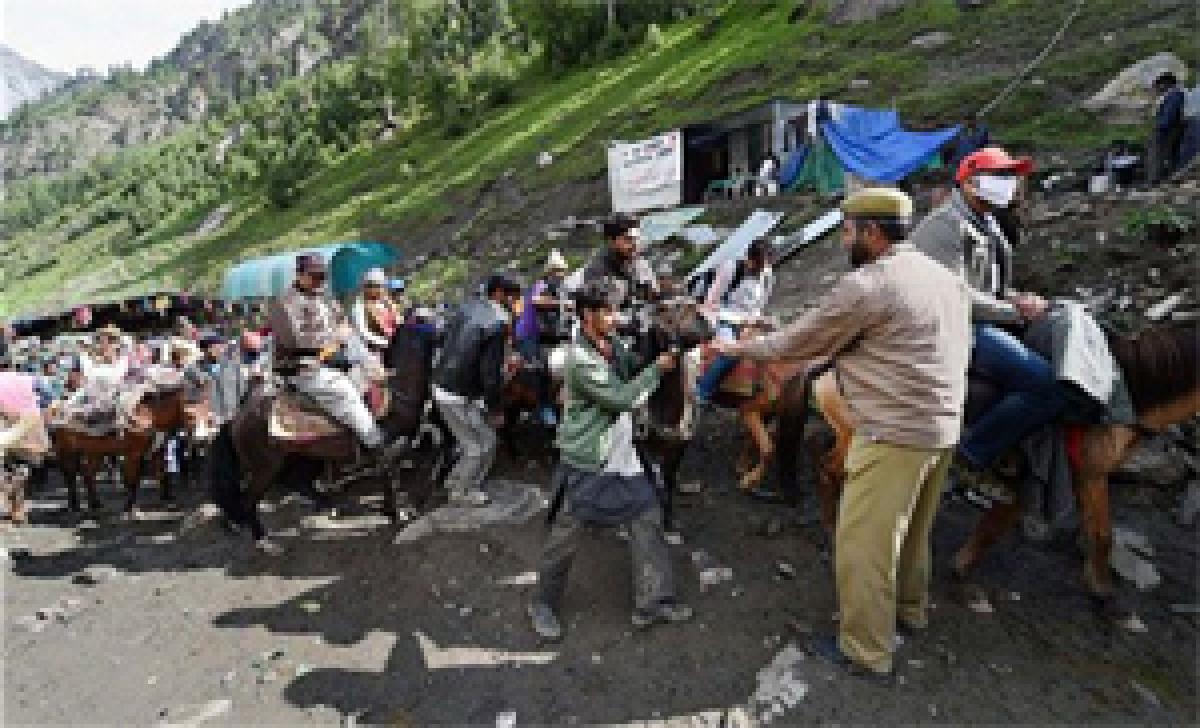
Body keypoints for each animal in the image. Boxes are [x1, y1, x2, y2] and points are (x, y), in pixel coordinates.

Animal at [51, 390, 201, 515]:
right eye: (189, 414)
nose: (199, 438)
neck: (150, 415)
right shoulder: (133, 454)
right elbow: (132, 480)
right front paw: (131, 507)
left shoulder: (157, 450)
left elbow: (162, 474)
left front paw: (167, 498)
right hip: (67, 451)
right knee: (70, 476)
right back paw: (75, 506)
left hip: (95, 451)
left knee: (88, 474)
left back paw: (95, 504)